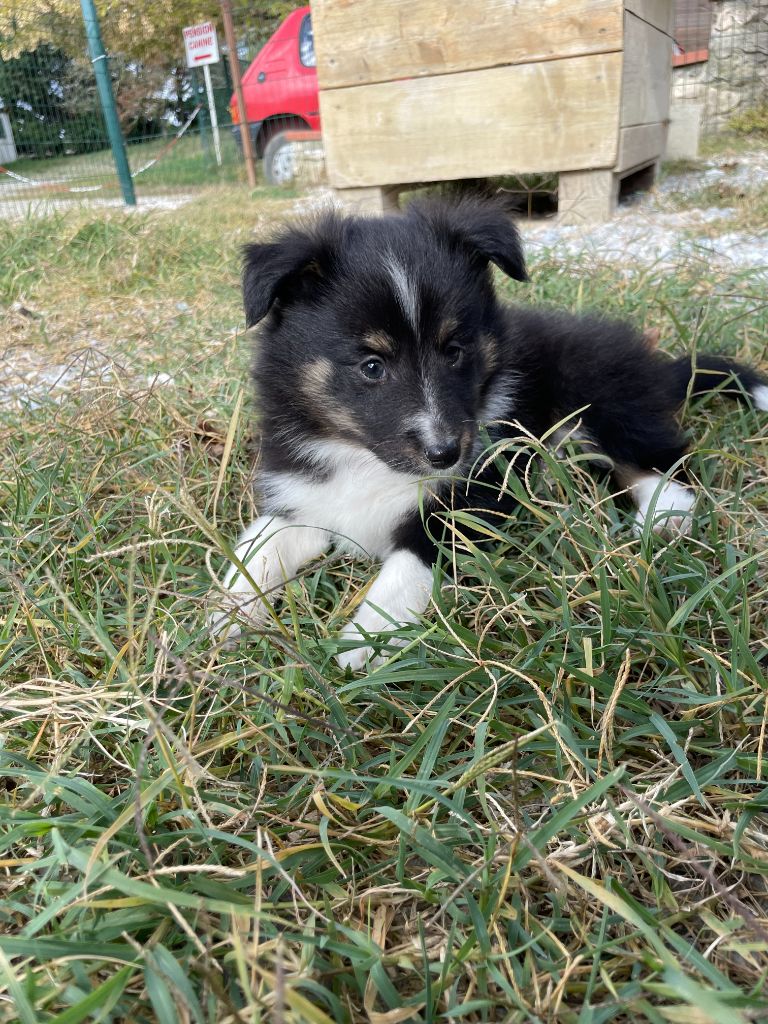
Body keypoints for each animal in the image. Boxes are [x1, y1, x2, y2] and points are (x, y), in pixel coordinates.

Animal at [211, 197, 768, 671]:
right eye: (372, 366)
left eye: (455, 350)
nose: (444, 453)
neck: (364, 458)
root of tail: (662, 367)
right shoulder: (301, 497)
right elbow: (257, 554)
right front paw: (224, 620)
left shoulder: (464, 509)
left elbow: (402, 575)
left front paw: (358, 646)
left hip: (595, 393)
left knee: (661, 460)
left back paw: (661, 519)